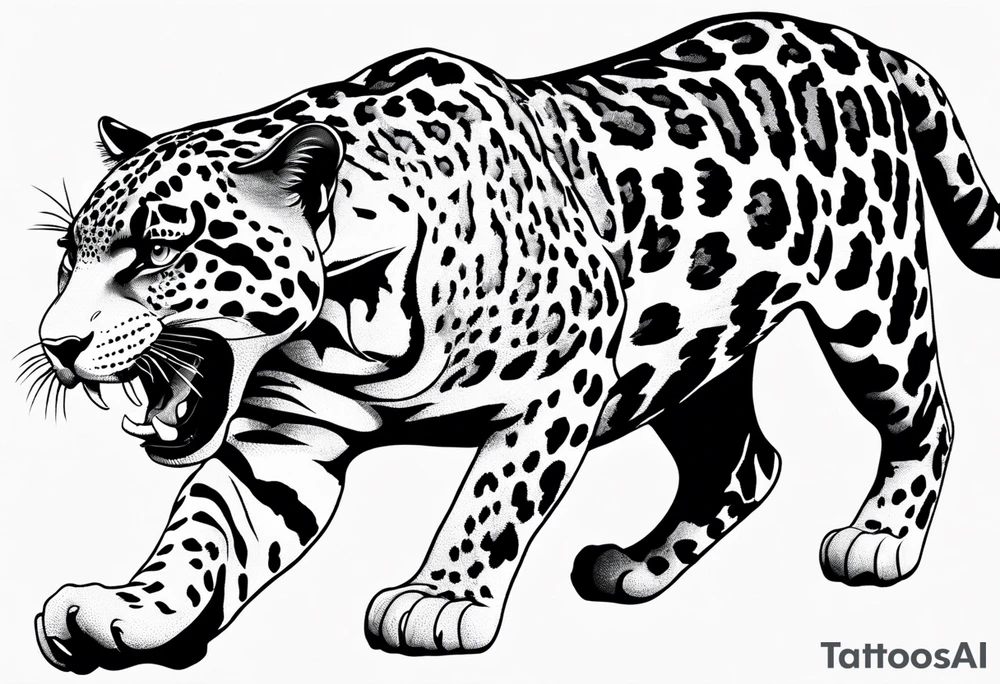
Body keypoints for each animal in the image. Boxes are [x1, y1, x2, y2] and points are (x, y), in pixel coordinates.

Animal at [25, 11, 997, 673]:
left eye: (162, 250)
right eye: (69, 255)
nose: (55, 342)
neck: (353, 309)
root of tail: (864, 43)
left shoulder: (568, 377)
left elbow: (495, 498)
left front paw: (440, 598)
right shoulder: (284, 432)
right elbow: (210, 526)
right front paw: (136, 607)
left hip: (872, 304)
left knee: (925, 418)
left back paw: (882, 536)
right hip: (687, 349)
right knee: (745, 459)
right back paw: (637, 566)